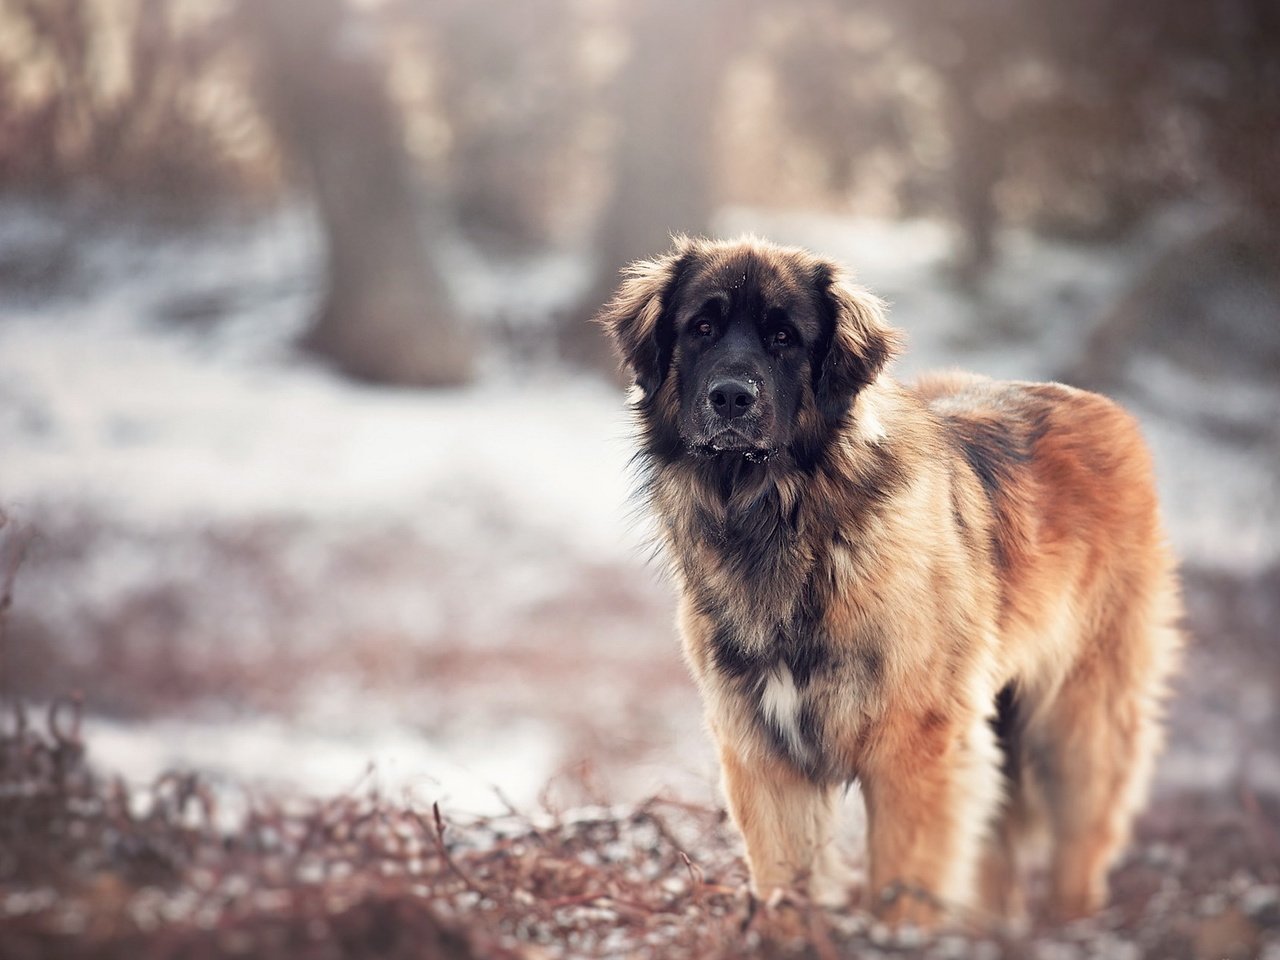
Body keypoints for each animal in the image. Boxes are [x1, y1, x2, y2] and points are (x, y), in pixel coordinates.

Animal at [593, 236, 1182, 926]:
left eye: (784, 338)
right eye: (701, 328)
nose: (732, 398)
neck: (784, 520)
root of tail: (1105, 408)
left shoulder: (915, 748)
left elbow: (903, 880)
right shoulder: (763, 751)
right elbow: (785, 876)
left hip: (1078, 724)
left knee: (1080, 843)